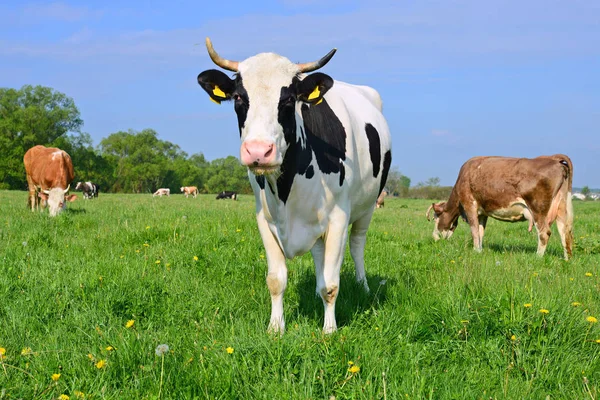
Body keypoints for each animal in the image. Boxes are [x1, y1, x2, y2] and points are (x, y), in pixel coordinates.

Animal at [198, 38, 394, 334]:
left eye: (289, 99)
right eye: (239, 98)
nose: (259, 151)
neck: (286, 189)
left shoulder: (338, 218)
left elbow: (331, 284)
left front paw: (329, 330)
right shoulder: (264, 218)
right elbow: (276, 280)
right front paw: (275, 328)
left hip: (368, 206)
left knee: (357, 245)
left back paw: (363, 286)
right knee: (319, 254)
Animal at [424, 153, 576, 260]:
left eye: (436, 218)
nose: (435, 237)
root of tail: (553, 159)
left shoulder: (470, 206)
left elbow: (474, 231)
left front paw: (475, 251)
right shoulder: (482, 213)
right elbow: (480, 232)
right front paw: (480, 250)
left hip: (538, 209)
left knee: (545, 233)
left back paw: (537, 257)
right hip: (561, 208)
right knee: (564, 232)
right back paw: (566, 259)